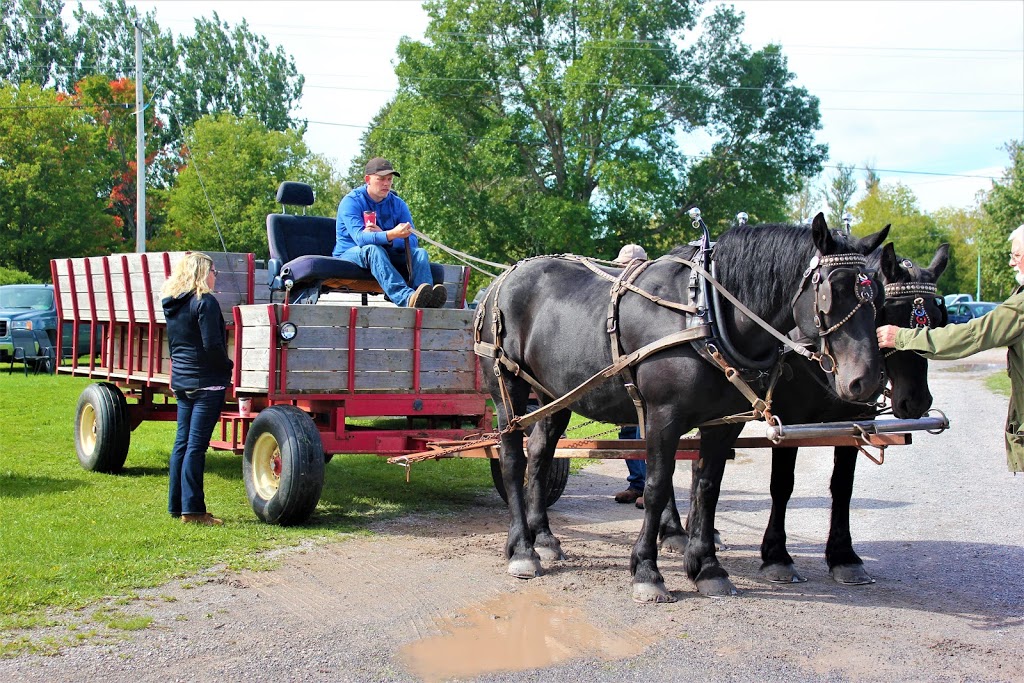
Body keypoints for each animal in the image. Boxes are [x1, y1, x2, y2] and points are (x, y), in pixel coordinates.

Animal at [477, 215, 888, 602]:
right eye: (831, 292)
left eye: (877, 297)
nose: (865, 381)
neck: (705, 314)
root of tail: (501, 280)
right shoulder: (664, 416)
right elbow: (657, 487)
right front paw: (647, 571)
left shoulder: (723, 424)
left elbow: (707, 488)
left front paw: (707, 568)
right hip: (508, 393)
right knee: (513, 460)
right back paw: (523, 549)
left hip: (554, 396)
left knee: (540, 455)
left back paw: (544, 538)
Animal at [761, 240, 950, 581]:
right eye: (889, 313)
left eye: (938, 318)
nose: (916, 401)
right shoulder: (788, 421)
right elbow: (782, 484)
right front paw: (776, 555)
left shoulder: (852, 422)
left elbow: (843, 486)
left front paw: (843, 555)